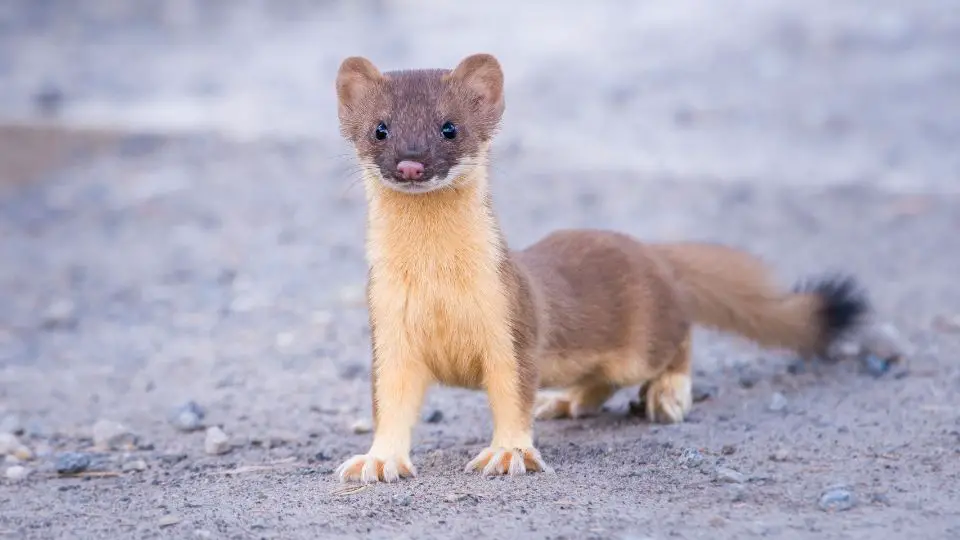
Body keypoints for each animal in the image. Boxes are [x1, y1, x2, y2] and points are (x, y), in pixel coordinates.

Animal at [332, 52, 872, 484]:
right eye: (380, 128)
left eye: (450, 127)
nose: (410, 163)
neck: (437, 286)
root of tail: (649, 250)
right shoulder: (388, 330)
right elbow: (390, 403)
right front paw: (377, 461)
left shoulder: (512, 320)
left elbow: (512, 392)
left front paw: (508, 453)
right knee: (602, 378)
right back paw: (565, 401)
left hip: (643, 338)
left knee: (678, 339)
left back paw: (668, 395)